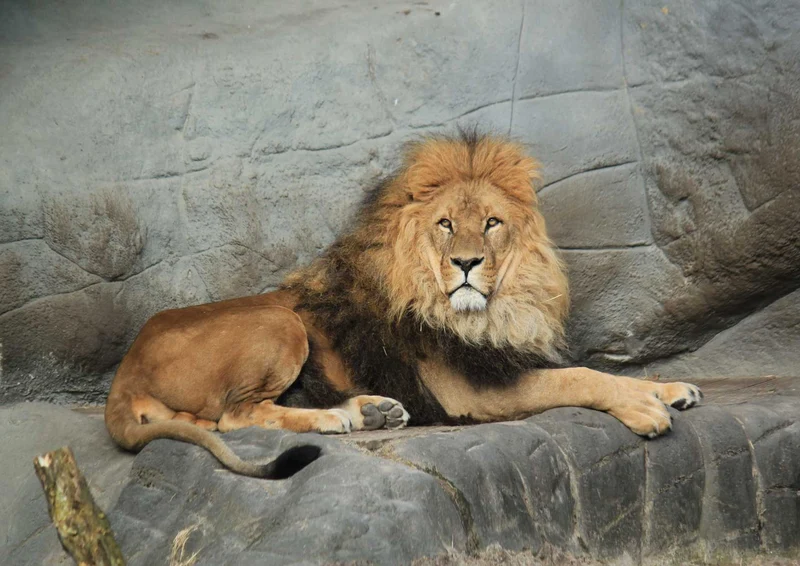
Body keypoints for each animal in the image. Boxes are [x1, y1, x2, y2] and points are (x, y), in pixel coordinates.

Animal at [105, 131, 702, 477]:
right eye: (446, 224)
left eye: (491, 222)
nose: (467, 263)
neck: (494, 312)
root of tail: (124, 372)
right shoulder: (472, 390)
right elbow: (580, 376)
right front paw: (645, 409)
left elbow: (606, 371)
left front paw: (670, 387)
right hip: (279, 321)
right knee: (234, 416)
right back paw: (335, 418)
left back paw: (371, 410)